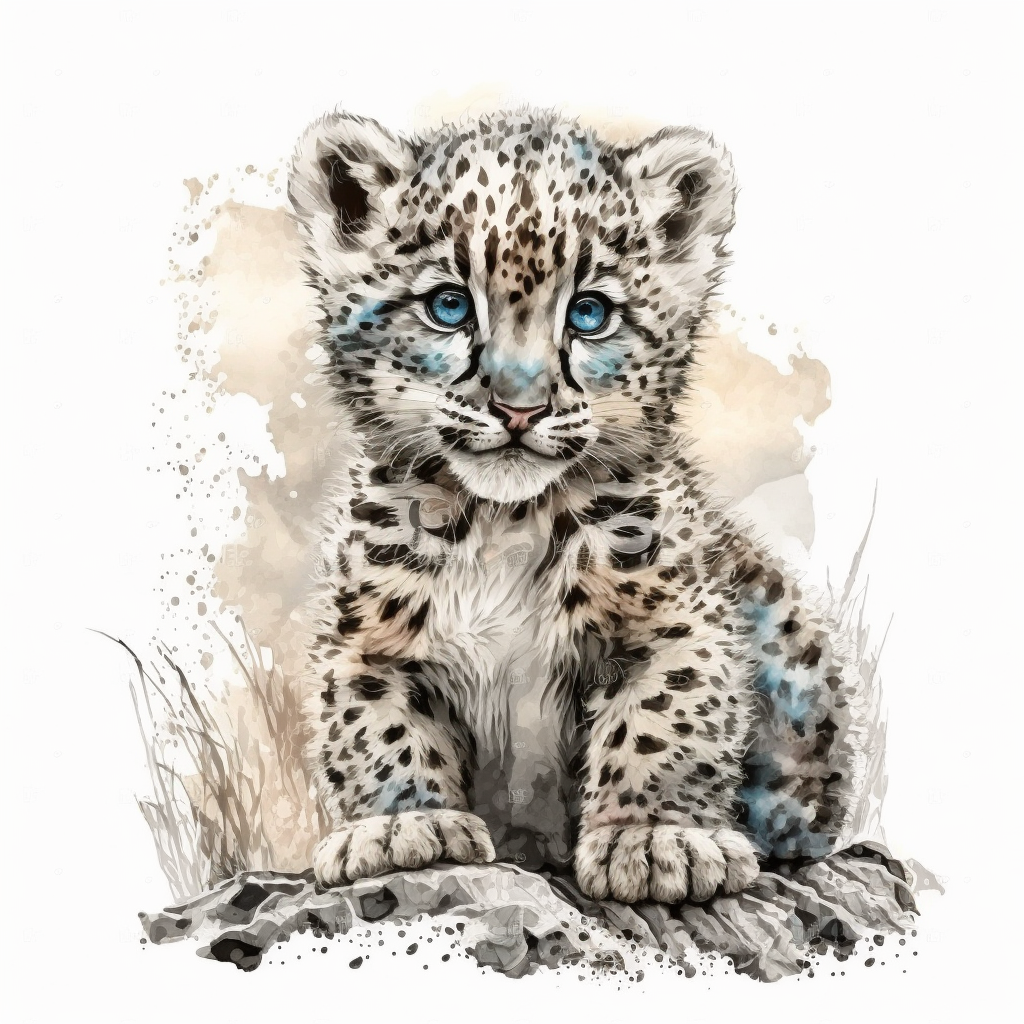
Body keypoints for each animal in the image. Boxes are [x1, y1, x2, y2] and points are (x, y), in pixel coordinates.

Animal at [288, 106, 868, 905]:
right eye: (448, 305)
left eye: (589, 313)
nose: (519, 406)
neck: (503, 524)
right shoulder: (367, 635)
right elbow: (375, 725)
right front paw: (403, 826)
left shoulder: (674, 616)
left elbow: (666, 716)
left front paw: (656, 840)